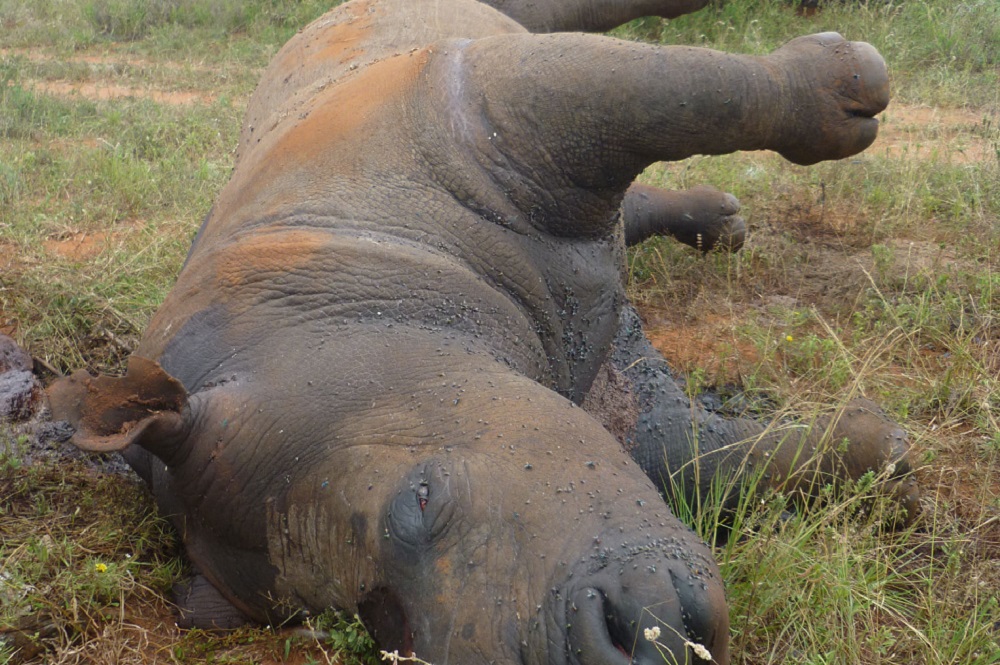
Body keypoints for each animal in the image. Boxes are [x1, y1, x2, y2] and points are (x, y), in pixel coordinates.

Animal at [48, 1, 919, 663]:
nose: (595, 646)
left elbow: (670, 96)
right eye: (376, 626)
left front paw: (841, 87)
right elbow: (717, 465)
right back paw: (717, 222)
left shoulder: (475, 105)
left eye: (422, 497)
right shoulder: (609, 421)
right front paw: (880, 450)